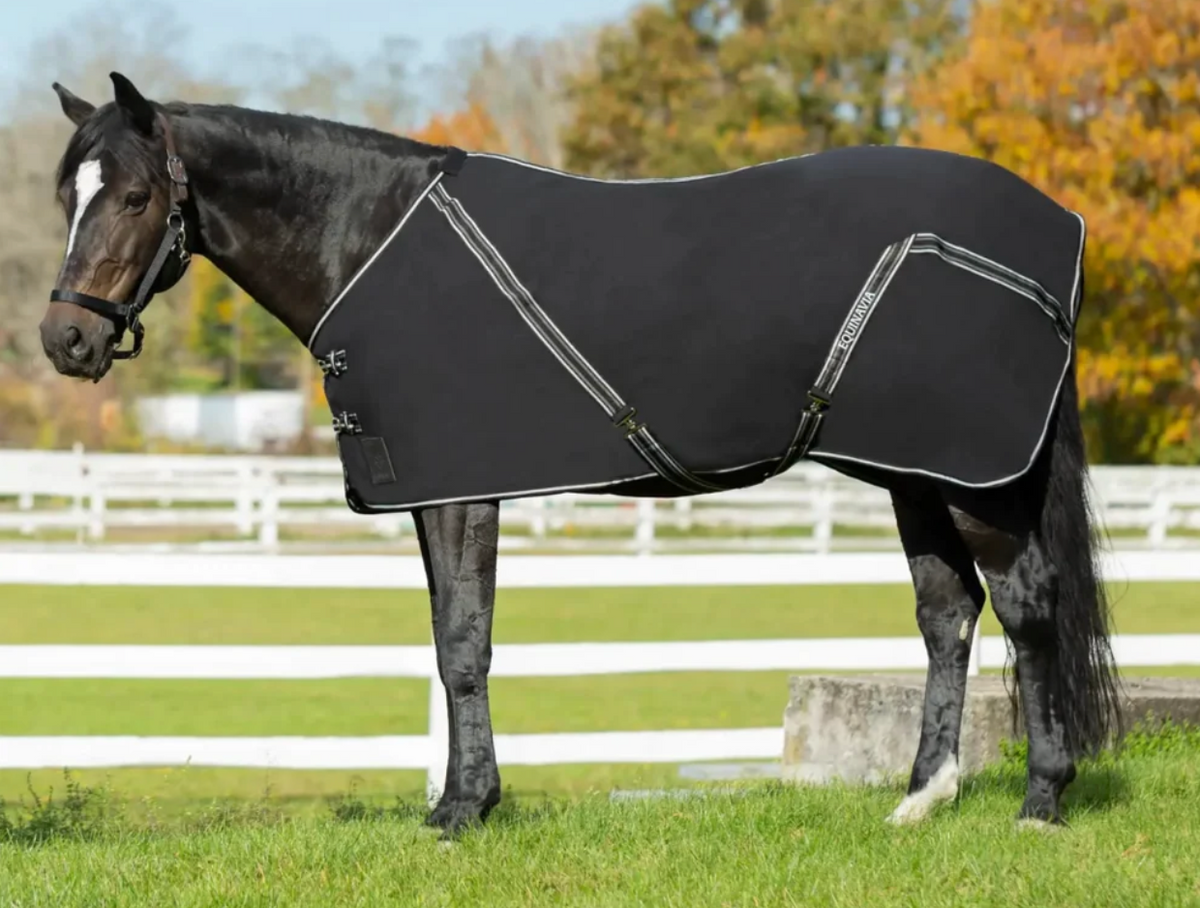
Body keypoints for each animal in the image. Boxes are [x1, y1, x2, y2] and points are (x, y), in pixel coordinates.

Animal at [38, 72, 1120, 835]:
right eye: (66, 196)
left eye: (133, 197)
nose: (67, 341)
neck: (373, 239)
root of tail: (1059, 228)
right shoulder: (433, 489)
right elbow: (447, 641)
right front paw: (462, 799)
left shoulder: (463, 490)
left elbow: (463, 643)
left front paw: (463, 810)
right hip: (917, 475)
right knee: (948, 612)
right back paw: (922, 798)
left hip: (978, 480)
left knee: (1026, 608)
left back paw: (1040, 801)